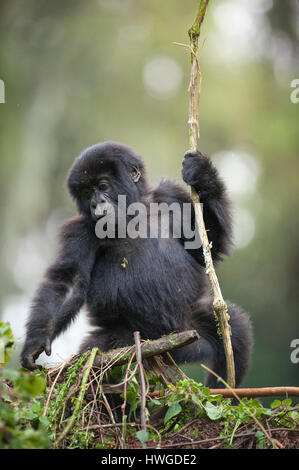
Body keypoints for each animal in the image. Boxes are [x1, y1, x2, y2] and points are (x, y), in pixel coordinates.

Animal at [19, 141, 252, 388]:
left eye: (102, 185)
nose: (95, 203)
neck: (133, 213)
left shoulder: (171, 196)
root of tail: (164, 351)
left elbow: (205, 247)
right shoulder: (80, 231)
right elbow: (69, 281)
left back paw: (223, 391)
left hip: (186, 329)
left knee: (235, 331)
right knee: (93, 359)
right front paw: (36, 340)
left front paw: (202, 175)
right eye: (86, 193)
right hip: (122, 341)